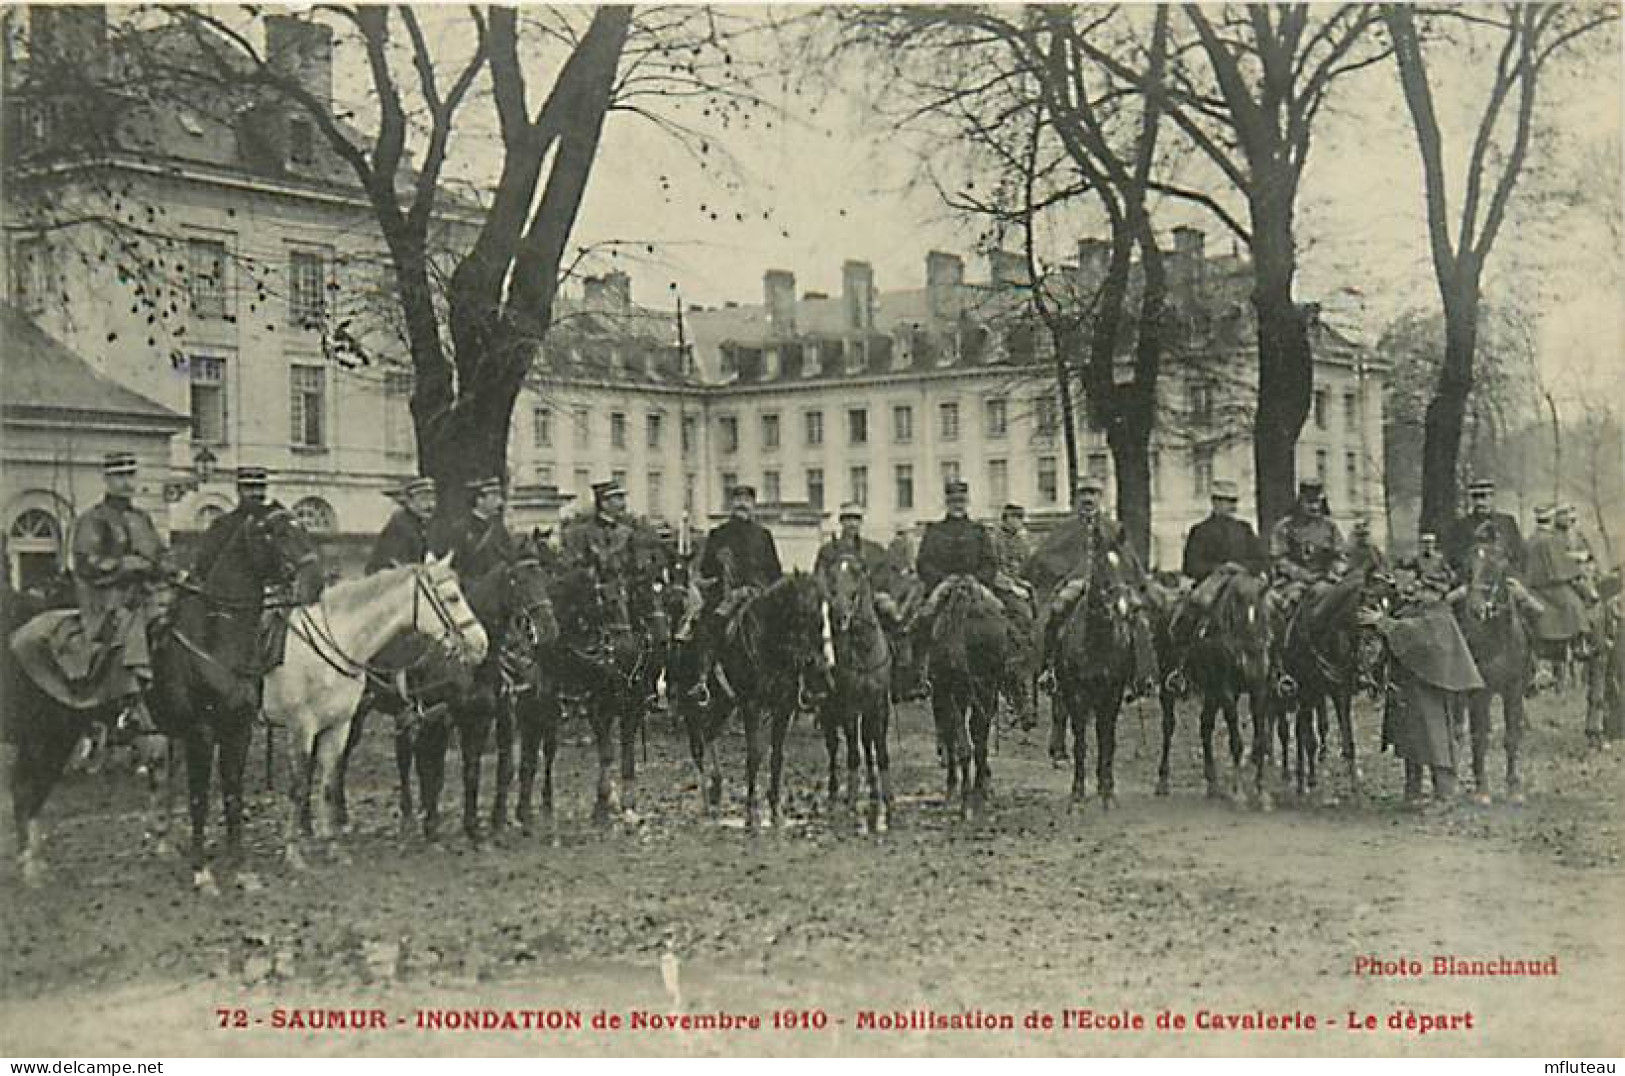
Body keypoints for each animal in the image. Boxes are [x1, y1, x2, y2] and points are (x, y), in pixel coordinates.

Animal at [268, 555, 487, 871]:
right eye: (453, 597)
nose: (482, 643)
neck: (332, 642)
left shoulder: (338, 726)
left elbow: (328, 783)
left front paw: (333, 846)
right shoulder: (302, 727)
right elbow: (298, 785)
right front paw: (293, 852)